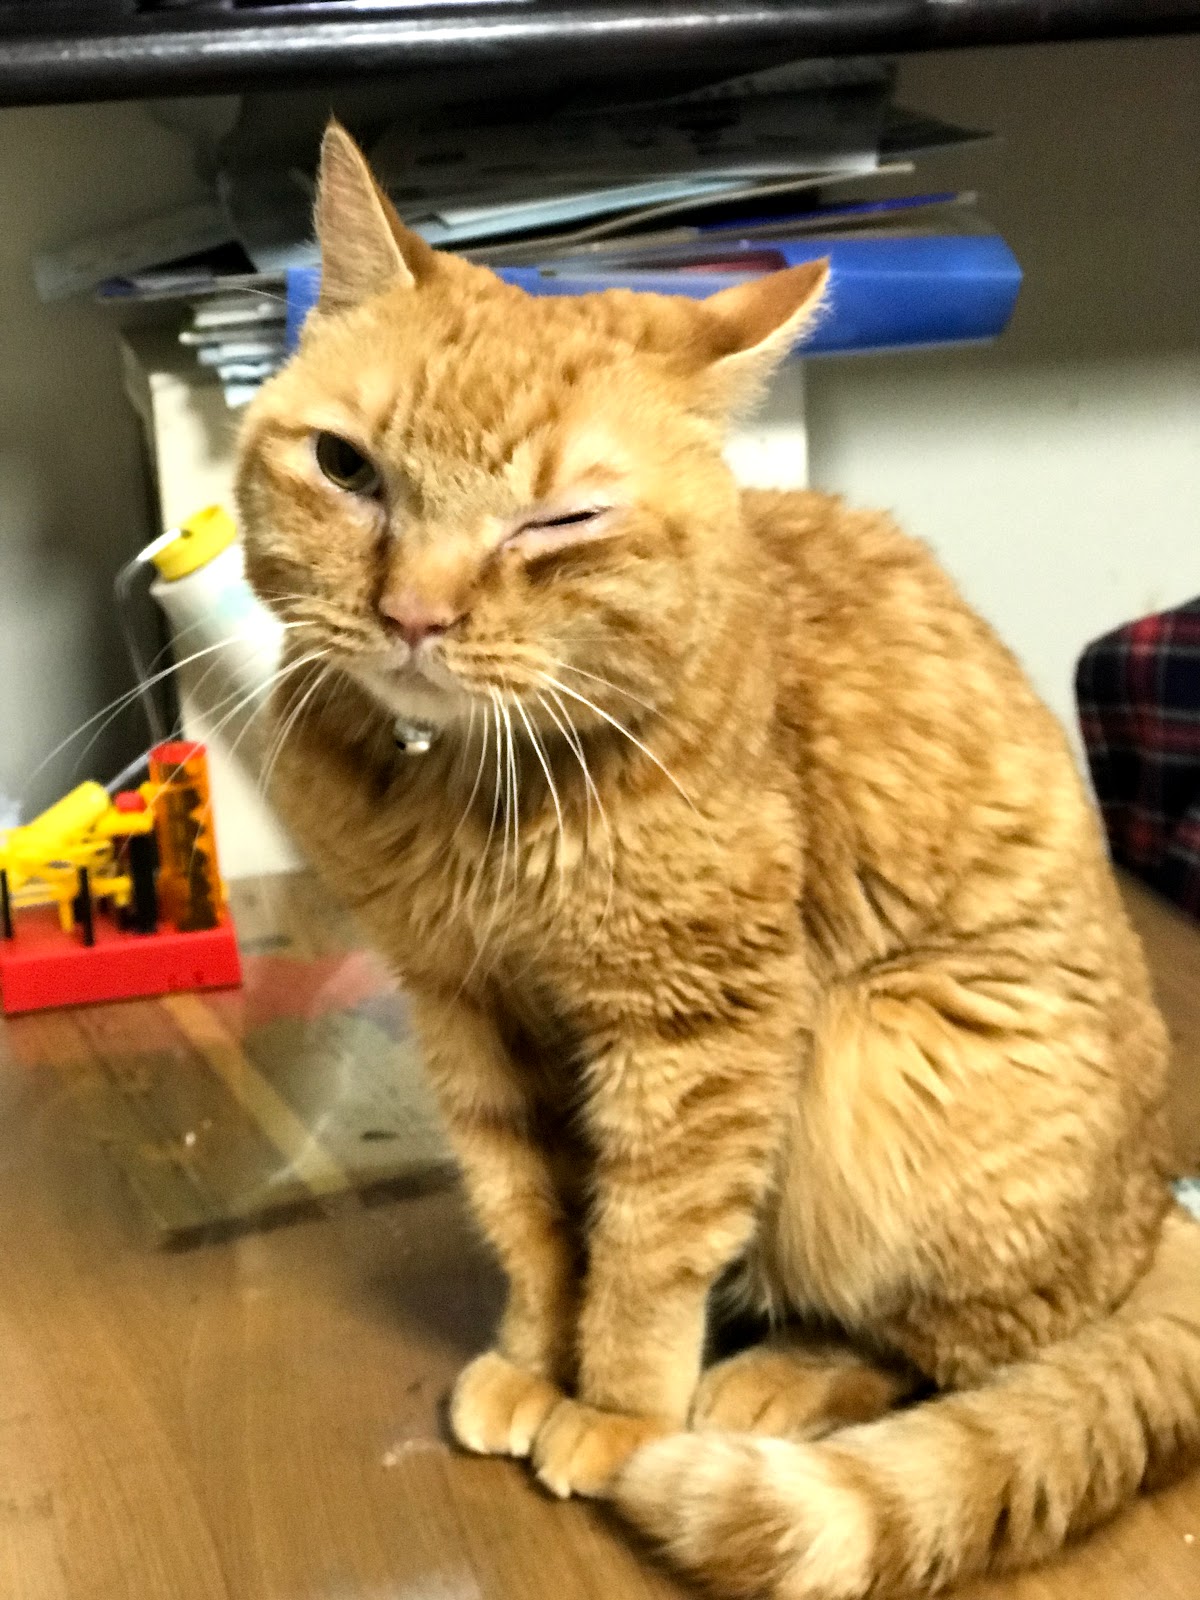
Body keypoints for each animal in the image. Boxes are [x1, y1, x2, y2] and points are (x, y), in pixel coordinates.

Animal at [235, 122, 1200, 1598]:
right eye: (348, 468)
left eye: (559, 523)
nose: (414, 613)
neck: (468, 793)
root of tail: (1160, 1218)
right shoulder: (468, 1010)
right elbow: (531, 1213)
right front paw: (535, 1358)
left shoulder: (700, 1030)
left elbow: (645, 1247)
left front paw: (619, 1408)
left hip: (885, 1051)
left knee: (959, 1349)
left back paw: (772, 1380)